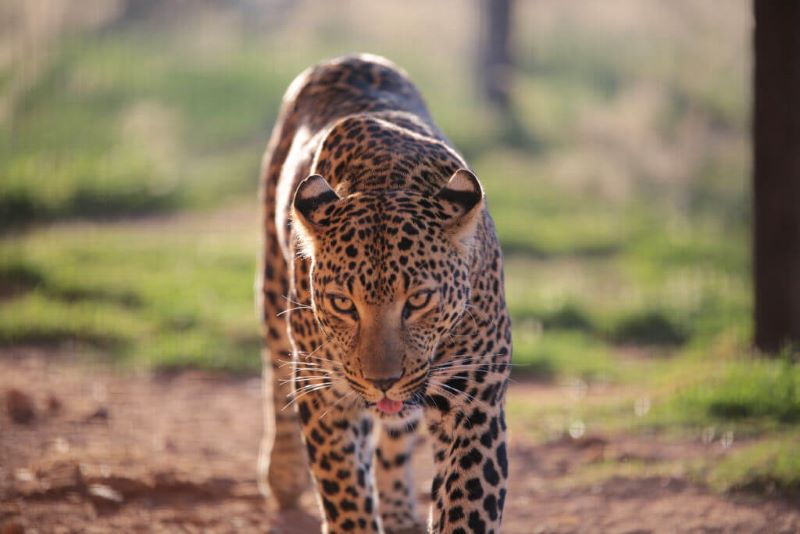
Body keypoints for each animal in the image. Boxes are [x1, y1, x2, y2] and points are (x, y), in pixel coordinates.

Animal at [258, 54, 512, 534]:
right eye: (343, 304)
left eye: (418, 301)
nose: (382, 383)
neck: (386, 178)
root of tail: (346, 58)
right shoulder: (327, 394)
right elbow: (346, 499)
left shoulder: (475, 400)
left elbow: (465, 508)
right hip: (272, 292)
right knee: (276, 377)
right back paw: (281, 474)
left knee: (395, 439)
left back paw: (396, 509)